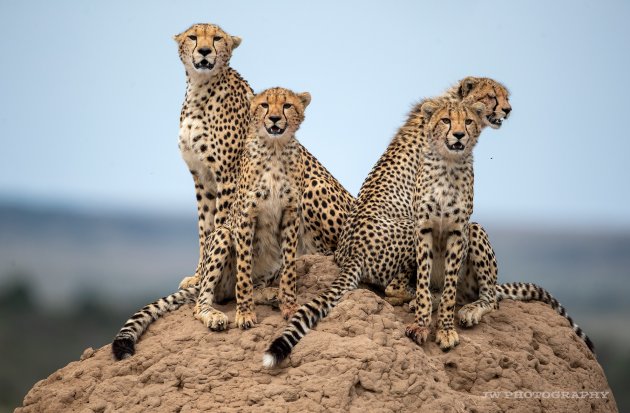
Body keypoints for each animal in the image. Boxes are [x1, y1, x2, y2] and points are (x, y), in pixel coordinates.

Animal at [111, 87, 314, 358]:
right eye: (264, 105)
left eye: (287, 106)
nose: (273, 119)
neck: (274, 148)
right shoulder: (245, 217)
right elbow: (243, 271)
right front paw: (245, 315)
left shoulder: (290, 215)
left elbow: (290, 267)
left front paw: (288, 305)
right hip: (221, 236)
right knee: (203, 301)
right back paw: (215, 315)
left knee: (254, 283)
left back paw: (270, 293)